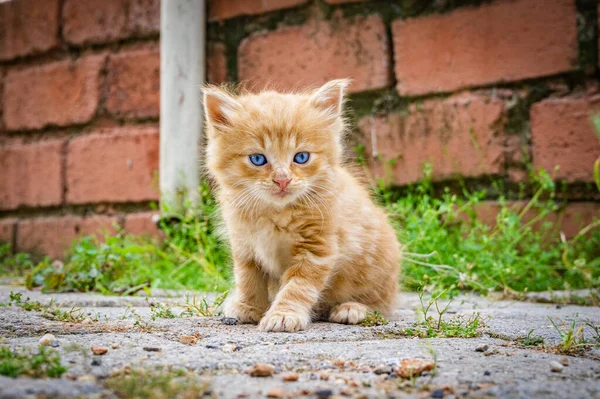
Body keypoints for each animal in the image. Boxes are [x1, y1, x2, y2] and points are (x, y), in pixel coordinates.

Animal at [203, 79, 404, 332]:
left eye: (301, 157)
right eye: (258, 159)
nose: (282, 180)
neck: (275, 213)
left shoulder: (317, 248)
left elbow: (297, 287)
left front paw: (283, 315)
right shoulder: (245, 246)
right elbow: (248, 280)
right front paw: (247, 307)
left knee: (380, 304)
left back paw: (352, 309)